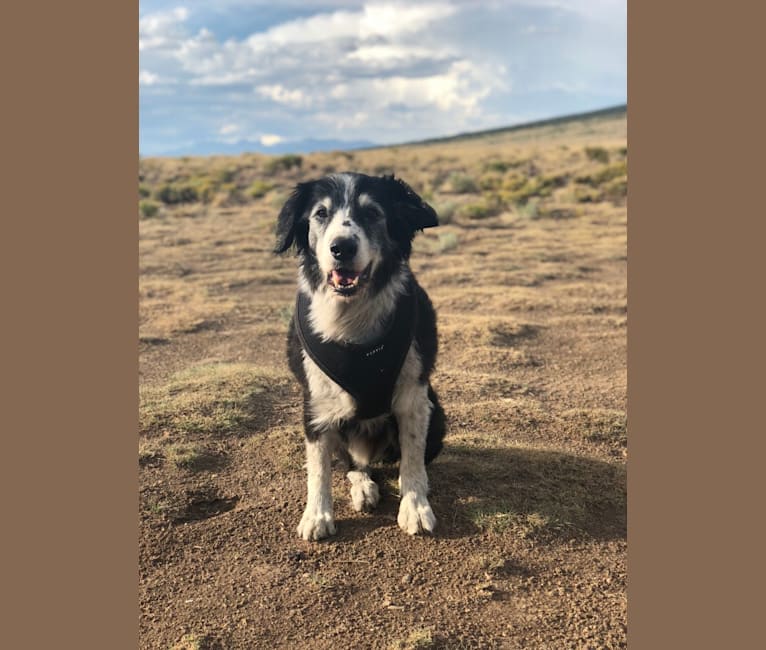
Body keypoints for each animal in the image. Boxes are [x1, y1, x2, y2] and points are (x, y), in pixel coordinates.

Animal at [276, 171, 448, 536]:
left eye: (372, 213)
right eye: (321, 214)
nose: (342, 247)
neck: (352, 315)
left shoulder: (413, 397)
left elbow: (412, 458)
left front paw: (415, 506)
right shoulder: (316, 404)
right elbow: (319, 468)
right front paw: (317, 515)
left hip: (437, 414)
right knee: (352, 464)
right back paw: (363, 486)